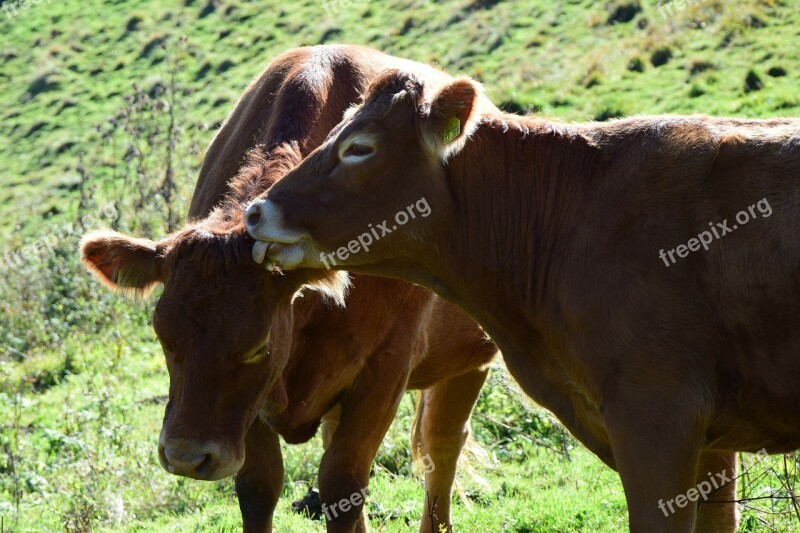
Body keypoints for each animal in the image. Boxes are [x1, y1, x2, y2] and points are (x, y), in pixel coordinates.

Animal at [79, 46, 494, 532]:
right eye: (164, 337)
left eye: (257, 346)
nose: (185, 457)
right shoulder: (253, 408)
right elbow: (259, 486)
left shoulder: (385, 370)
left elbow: (343, 482)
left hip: (472, 357)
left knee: (441, 445)